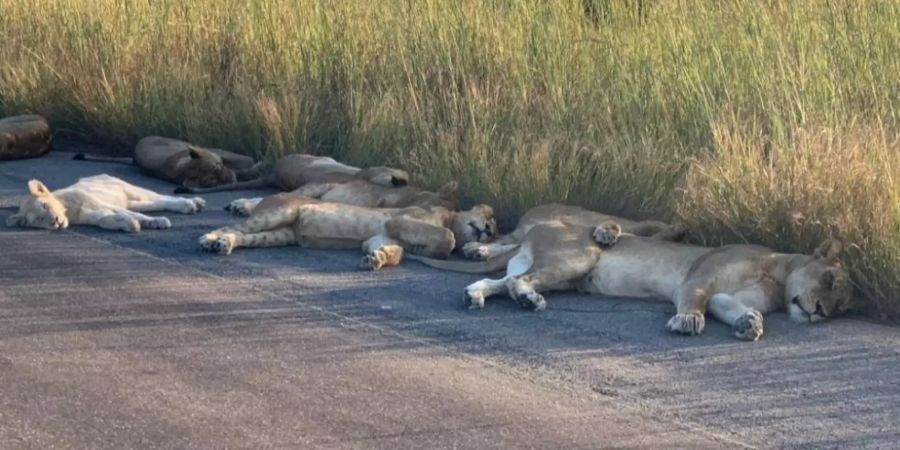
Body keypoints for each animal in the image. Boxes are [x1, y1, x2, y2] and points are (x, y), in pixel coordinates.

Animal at [5, 175, 206, 232]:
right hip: (132, 201)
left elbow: (137, 215)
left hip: (132, 190)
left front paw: (158, 222)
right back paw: (193, 204)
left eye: (45, 206)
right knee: (155, 204)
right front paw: (129, 225)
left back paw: (192, 203)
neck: (69, 211)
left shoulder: (99, 202)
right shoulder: (93, 215)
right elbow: (105, 220)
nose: (55, 221)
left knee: (163, 197)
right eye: (38, 220)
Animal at [197, 192, 496, 268]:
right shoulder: (398, 220)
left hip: (278, 235)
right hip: (279, 212)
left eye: (495, 231)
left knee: (243, 235)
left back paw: (224, 244)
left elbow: (395, 252)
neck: (451, 217)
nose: (488, 231)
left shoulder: (379, 236)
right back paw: (208, 239)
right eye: (490, 219)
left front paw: (376, 260)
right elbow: (449, 238)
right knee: (231, 225)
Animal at [580, 230, 856, 340]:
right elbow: (695, 298)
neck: (776, 276)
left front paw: (749, 323)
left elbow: (722, 302)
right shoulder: (698, 279)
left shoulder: (727, 295)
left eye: (840, 308)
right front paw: (688, 320)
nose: (821, 312)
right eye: (829, 279)